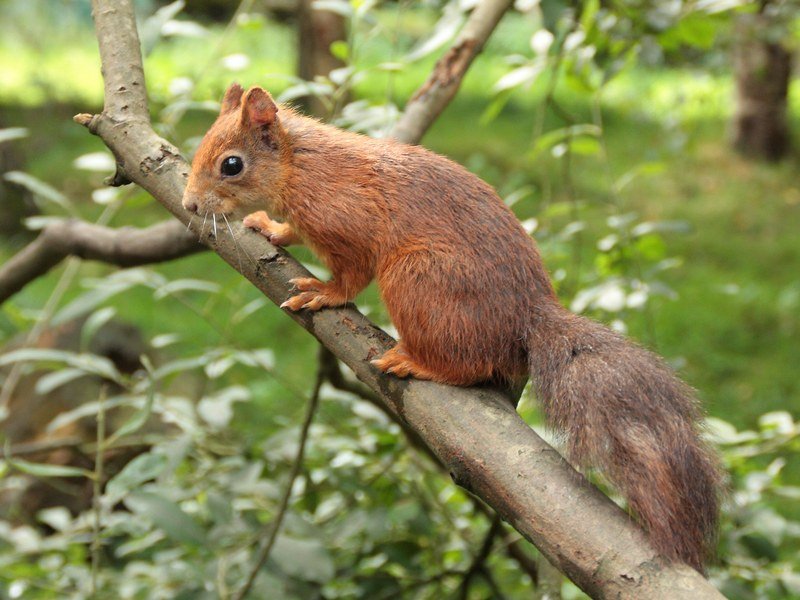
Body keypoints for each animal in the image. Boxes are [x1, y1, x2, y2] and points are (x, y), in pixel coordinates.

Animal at [184, 83, 720, 572]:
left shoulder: (347, 223)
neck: (301, 165)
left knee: (467, 366)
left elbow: (352, 274)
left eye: (231, 165)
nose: (189, 205)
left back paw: (416, 362)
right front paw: (269, 227)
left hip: (416, 277)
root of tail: (527, 319)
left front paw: (325, 291)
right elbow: (291, 231)